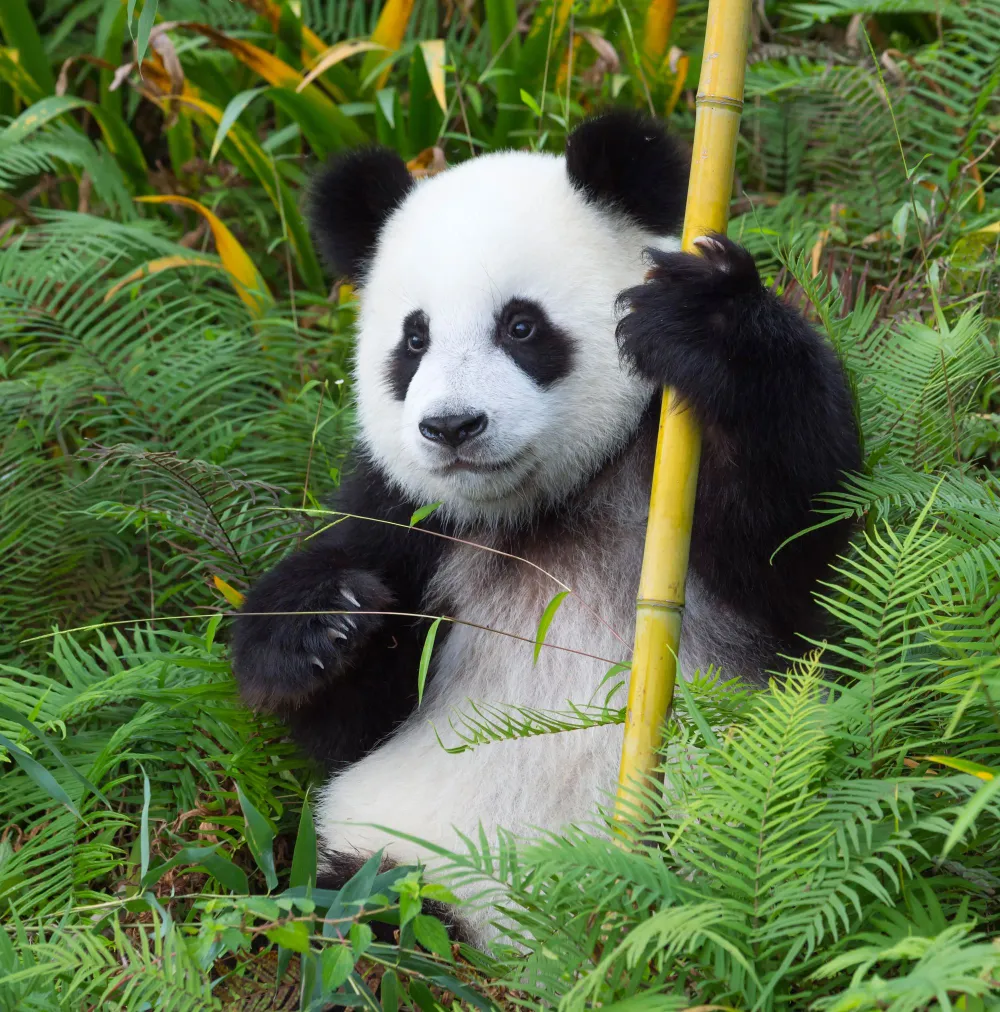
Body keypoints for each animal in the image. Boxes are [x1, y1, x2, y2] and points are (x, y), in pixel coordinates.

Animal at [231, 110, 861, 947]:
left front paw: (707, 318)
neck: (543, 505)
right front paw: (325, 623)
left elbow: (804, 551)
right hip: (391, 853)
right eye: (414, 340)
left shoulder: (670, 472)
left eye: (522, 326)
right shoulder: (408, 520)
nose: (452, 427)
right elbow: (344, 725)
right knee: (334, 907)